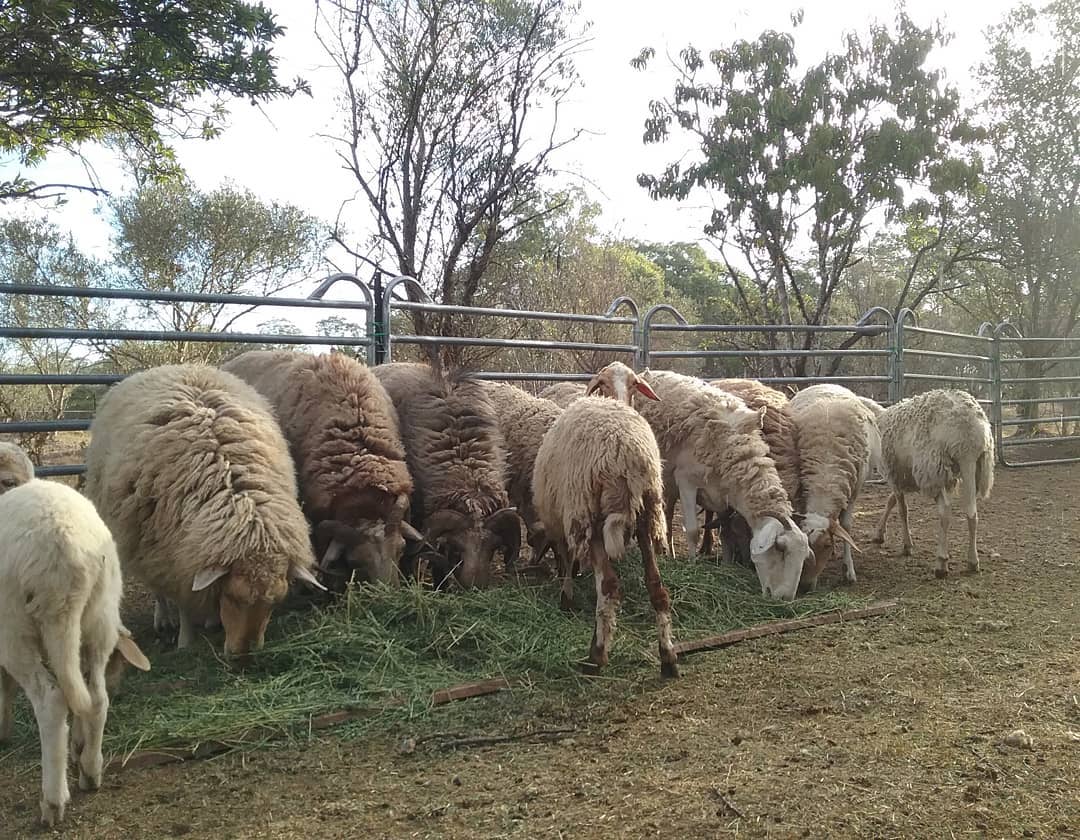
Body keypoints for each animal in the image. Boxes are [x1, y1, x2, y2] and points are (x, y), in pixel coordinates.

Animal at [0, 479, 150, 826]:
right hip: (99, 615)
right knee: (95, 696)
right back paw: (91, 770)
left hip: (14, 627)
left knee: (52, 700)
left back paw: (53, 801)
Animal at [83, 364, 323, 658]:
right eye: (233, 597)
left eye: (274, 603)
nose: (245, 655)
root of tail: (173, 366)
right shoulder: (172, 552)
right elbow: (184, 599)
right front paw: (185, 639)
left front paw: (212, 619)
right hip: (141, 538)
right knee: (156, 585)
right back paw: (164, 619)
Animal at [532, 395, 678, 677]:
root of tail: (626, 456)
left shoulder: (566, 522)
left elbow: (566, 561)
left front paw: (566, 599)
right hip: (646, 513)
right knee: (657, 587)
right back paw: (668, 657)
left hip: (591, 513)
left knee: (609, 587)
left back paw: (596, 656)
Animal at [788, 383, 881, 591]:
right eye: (805, 545)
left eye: (825, 545)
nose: (805, 586)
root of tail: (828, 384)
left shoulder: (853, 492)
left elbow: (846, 526)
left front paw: (849, 571)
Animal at [871, 389, 995, 578]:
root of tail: (967, 426)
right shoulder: (904, 477)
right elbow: (890, 502)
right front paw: (879, 534)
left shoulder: (895, 475)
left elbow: (902, 510)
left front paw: (907, 545)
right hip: (974, 463)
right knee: (972, 513)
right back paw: (973, 561)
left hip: (933, 467)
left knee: (945, 511)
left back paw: (941, 563)